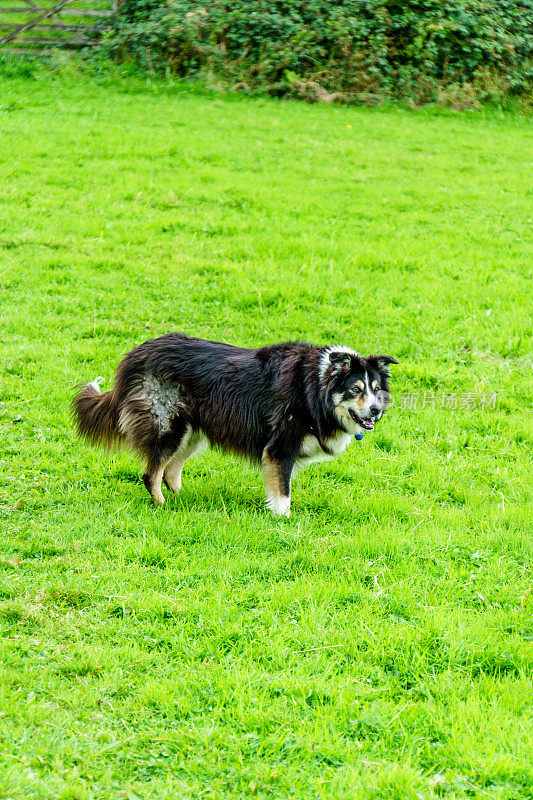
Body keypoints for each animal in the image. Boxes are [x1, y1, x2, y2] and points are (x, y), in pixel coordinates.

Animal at [72, 332, 394, 516]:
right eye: (355, 389)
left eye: (376, 388)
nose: (376, 411)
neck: (314, 387)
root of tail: (136, 354)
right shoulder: (280, 448)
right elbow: (282, 492)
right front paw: (282, 521)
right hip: (169, 426)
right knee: (151, 474)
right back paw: (163, 506)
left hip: (191, 433)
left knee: (170, 471)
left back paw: (182, 499)